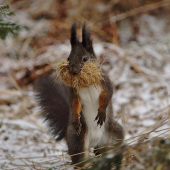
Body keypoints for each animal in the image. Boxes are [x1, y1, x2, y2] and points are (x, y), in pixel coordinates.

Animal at [35, 23, 124, 168]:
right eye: (68, 58)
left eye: (85, 58)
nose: (74, 70)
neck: (86, 83)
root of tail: (96, 142)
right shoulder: (74, 91)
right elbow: (74, 103)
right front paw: (76, 119)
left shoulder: (105, 81)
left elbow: (109, 93)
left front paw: (101, 111)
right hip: (78, 141)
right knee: (80, 160)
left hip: (114, 132)